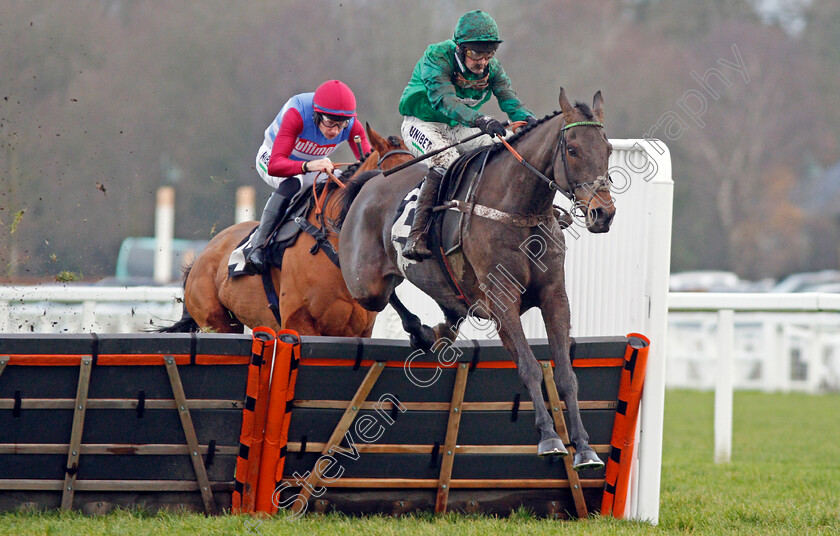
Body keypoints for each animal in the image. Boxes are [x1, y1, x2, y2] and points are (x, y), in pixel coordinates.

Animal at [336, 89, 616, 468]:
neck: (519, 210)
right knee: (383, 292)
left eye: (608, 148)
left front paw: (585, 448)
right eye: (572, 149)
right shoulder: (501, 298)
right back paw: (420, 329)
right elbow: (528, 366)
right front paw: (550, 438)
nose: (604, 213)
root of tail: (371, 183)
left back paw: (441, 326)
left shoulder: (554, 295)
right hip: (365, 285)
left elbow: (566, 374)